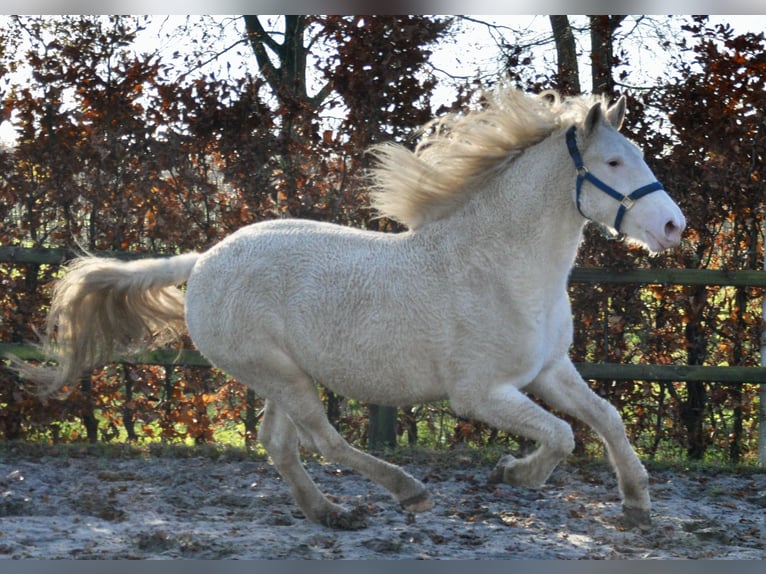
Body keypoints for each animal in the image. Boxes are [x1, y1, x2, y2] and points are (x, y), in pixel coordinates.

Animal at [9, 89, 688, 532]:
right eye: (613, 162)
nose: (674, 226)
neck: (501, 268)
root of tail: (204, 260)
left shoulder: (550, 370)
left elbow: (606, 419)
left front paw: (636, 504)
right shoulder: (480, 394)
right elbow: (563, 435)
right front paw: (515, 474)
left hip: (279, 377)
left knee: (280, 444)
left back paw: (330, 513)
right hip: (280, 374)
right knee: (324, 440)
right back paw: (406, 492)